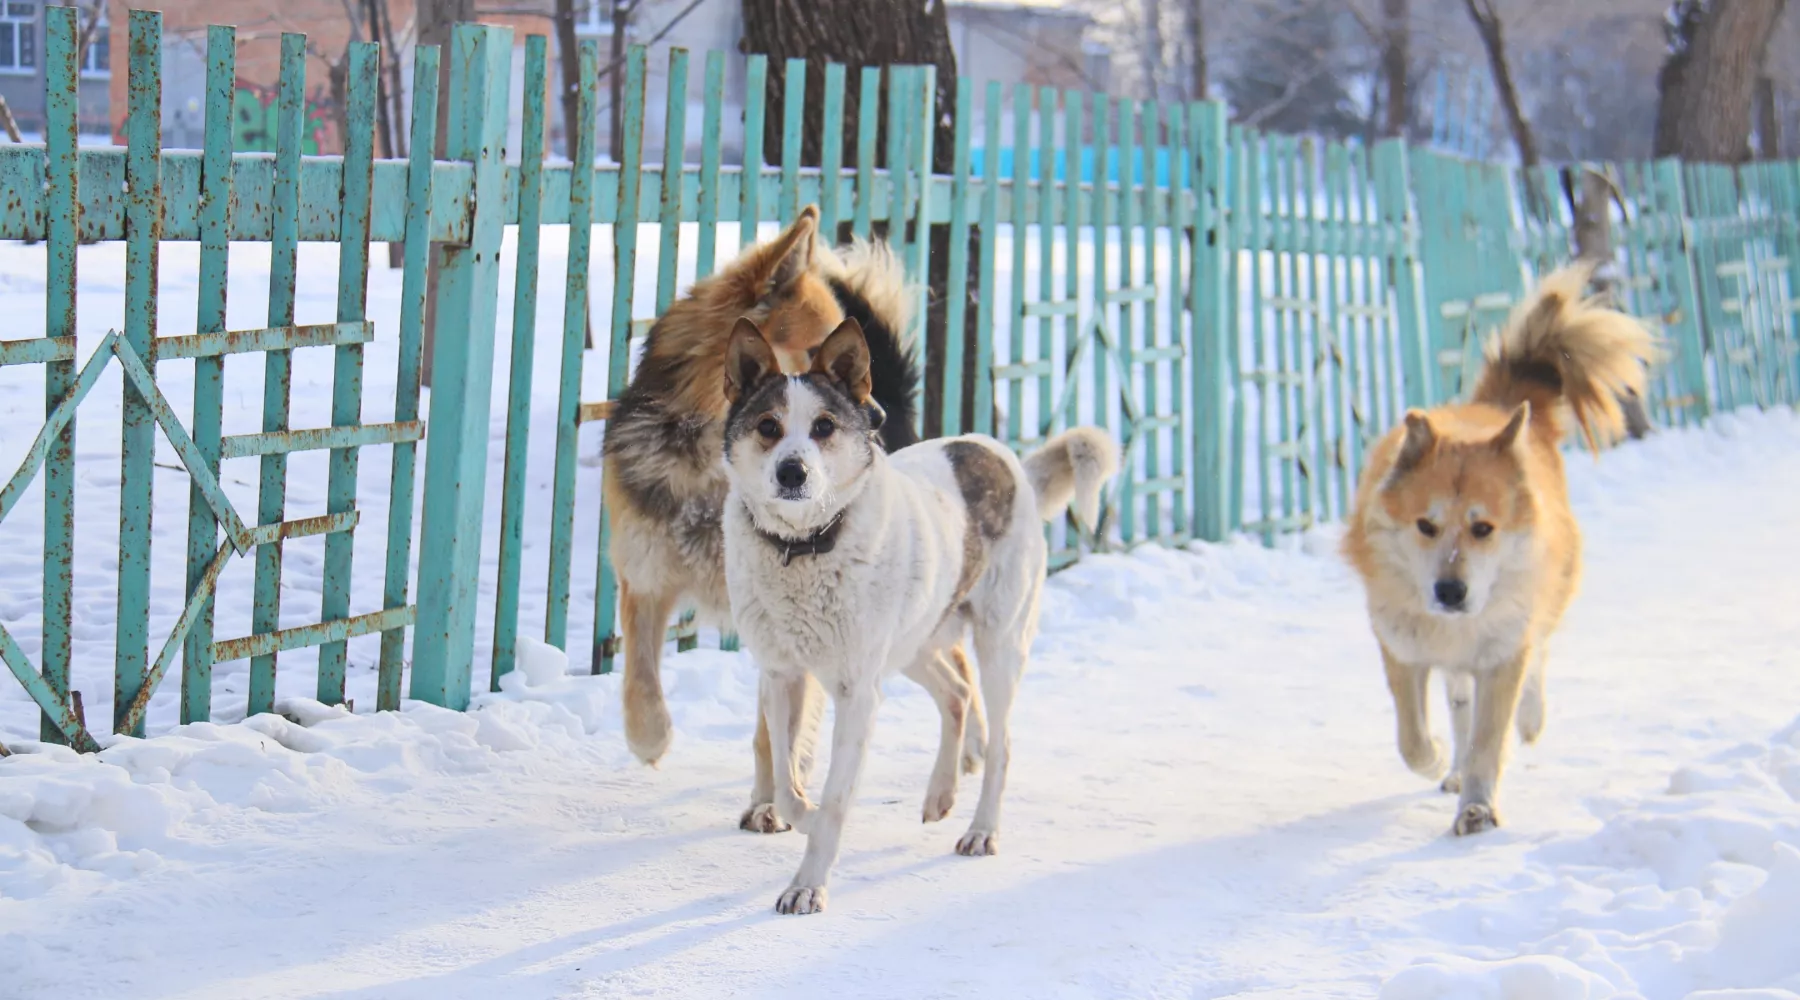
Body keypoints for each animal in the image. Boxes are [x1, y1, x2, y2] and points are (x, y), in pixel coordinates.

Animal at [712, 314, 1108, 913]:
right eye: (768, 426)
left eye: (824, 426)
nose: (792, 472)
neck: (805, 547)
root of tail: (1005, 458)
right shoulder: (781, 676)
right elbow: (784, 777)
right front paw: (798, 814)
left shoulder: (858, 693)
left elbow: (834, 800)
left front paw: (808, 884)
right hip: (915, 642)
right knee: (957, 693)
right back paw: (941, 793)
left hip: (998, 644)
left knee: (1000, 740)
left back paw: (981, 830)